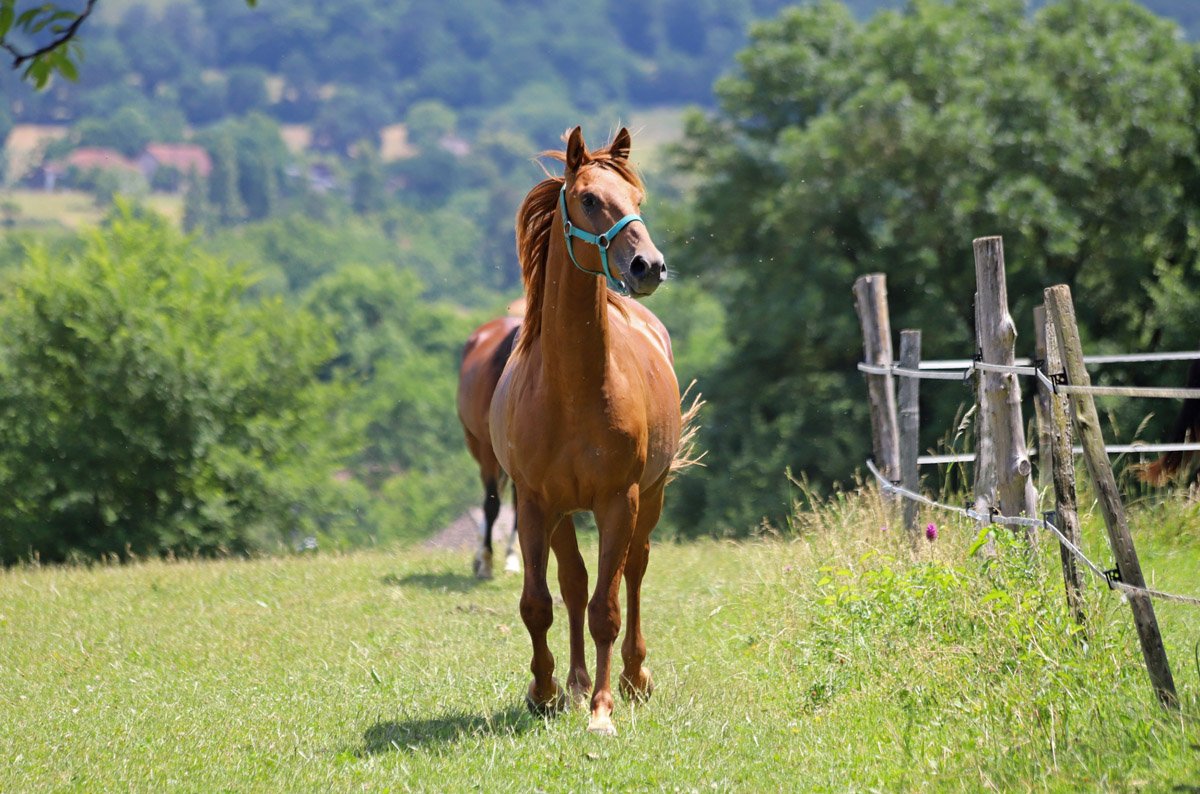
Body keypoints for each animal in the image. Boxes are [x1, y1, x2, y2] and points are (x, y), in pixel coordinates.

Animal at [490, 126, 687, 737]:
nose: (649, 266)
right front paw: (545, 690)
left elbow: (607, 608)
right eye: (589, 199)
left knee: (632, 574)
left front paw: (602, 709)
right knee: (574, 583)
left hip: (651, 498)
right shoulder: (534, 502)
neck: (573, 387)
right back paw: (575, 683)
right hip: (560, 513)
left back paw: (631, 679)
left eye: (638, 198)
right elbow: (539, 602)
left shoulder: (618, 500)